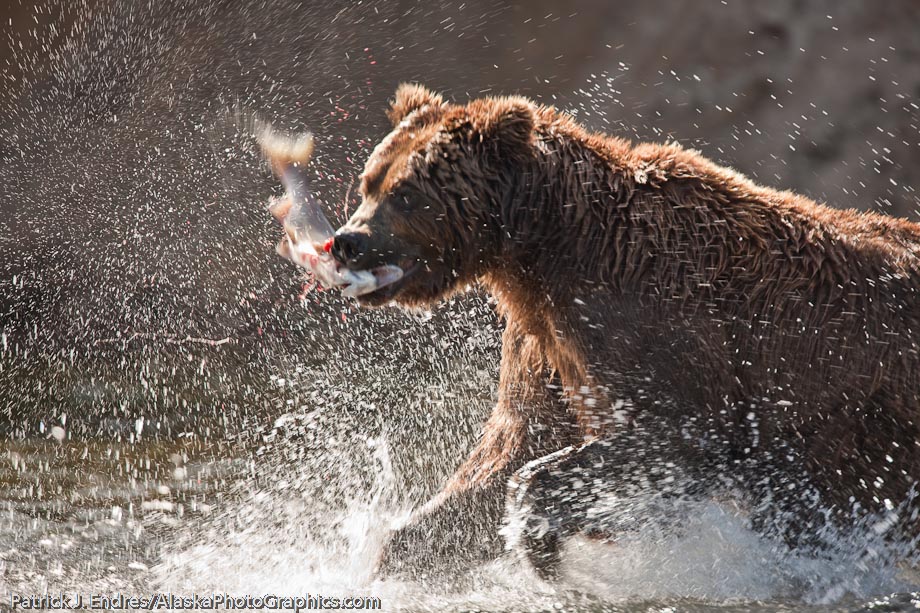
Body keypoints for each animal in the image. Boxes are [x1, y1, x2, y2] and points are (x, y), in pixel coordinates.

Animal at [324, 83, 920, 576]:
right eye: (369, 181)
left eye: (406, 192)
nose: (347, 241)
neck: (547, 251)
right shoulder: (548, 347)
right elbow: (506, 452)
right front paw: (398, 553)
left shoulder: (650, 329)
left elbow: (662, 442)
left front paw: (542, 544)